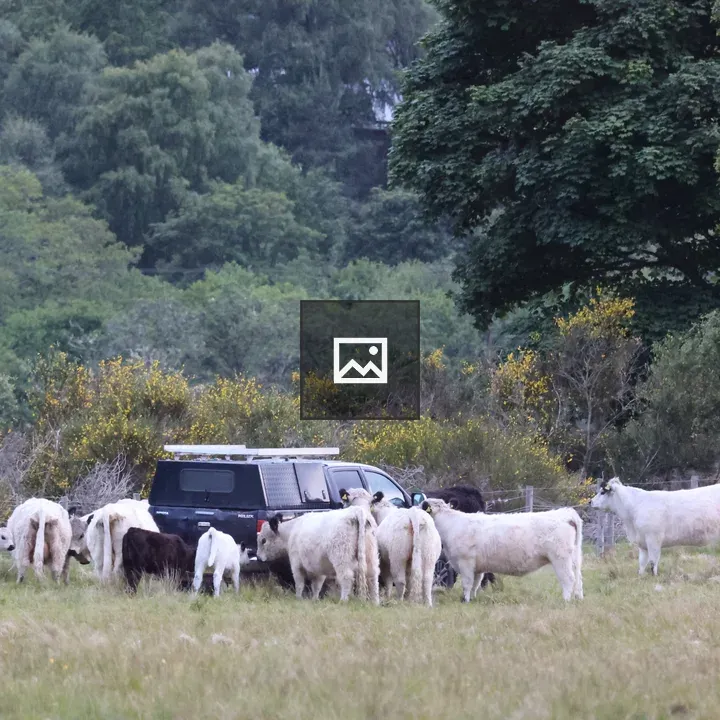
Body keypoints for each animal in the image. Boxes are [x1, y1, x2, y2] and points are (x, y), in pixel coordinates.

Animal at [422, 498, 584, 602]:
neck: (452, 524)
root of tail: (565, 513)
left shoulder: (465, 562)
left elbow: (467, 583)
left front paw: (465, 600)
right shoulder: (477, 567)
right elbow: (476, 583)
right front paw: (472, 599)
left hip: (560, 558)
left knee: (568, 578)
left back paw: (566, 600)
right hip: (573, 558)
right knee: (579, 579)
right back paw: (578, 598)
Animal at [590, 476, 720, 576]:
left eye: (602, 492)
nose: (590, 502)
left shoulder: (653, 539)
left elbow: (653, 561)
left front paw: (654, 577)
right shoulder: (642, 542)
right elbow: (642, 562)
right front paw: (641, 576)